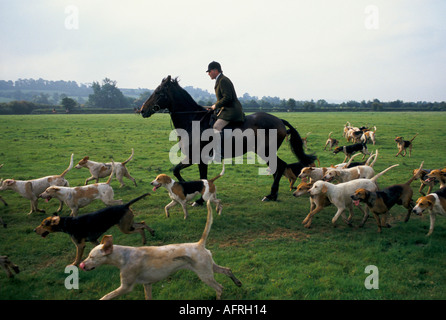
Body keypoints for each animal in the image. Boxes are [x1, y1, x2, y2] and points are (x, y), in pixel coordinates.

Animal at [140, 76, 318, 201]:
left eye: (158, 92)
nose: (142, 110)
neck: (193, 120)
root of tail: (279, 120)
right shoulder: (193, 157)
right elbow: (177, 171)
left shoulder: (197, 157)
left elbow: (192, 174)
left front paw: (198, 199)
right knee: (277, 168)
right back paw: (273, 194)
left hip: (265, 151)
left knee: (279, 167)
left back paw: (271, 195)